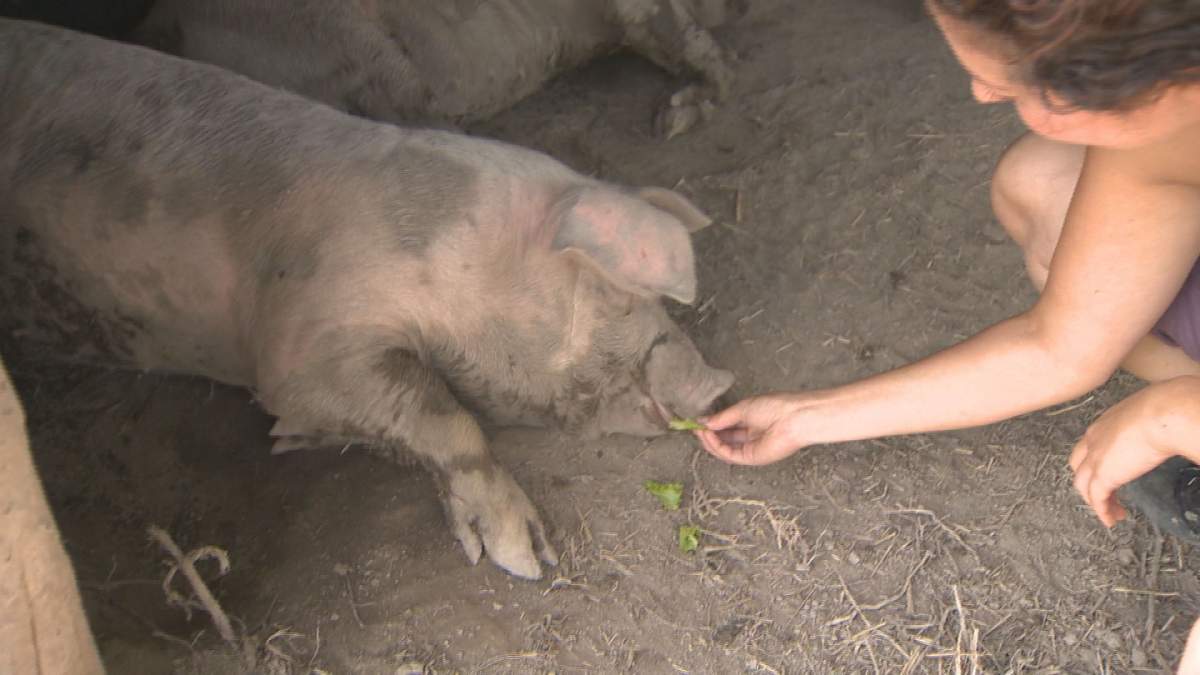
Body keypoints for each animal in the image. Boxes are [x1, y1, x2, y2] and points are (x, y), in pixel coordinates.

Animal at [0, 19, 733, 579]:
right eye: (616, 297)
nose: (719, 383)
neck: (456, 264)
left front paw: (294, 441)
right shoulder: (300, 345)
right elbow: (440, 412)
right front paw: (528, 558)